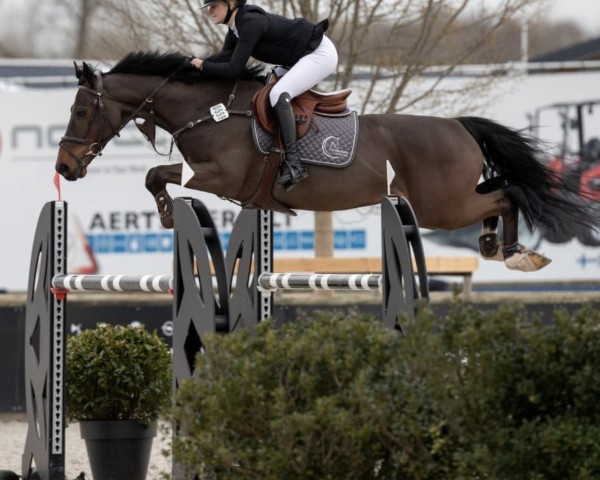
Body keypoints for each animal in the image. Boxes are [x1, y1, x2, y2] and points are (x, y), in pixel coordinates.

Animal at [55, 51, 596, 274]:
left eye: (80, 111)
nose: (64, 168)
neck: (206, 110)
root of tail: (460, 126)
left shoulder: (218, 175)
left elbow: (156, 174)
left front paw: (168, 214)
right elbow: (155, 176)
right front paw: (168, 214)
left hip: (440, 206)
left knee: (506, 194)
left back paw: (516, 252)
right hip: (447, 201)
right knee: (500, 191)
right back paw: (493, 244)